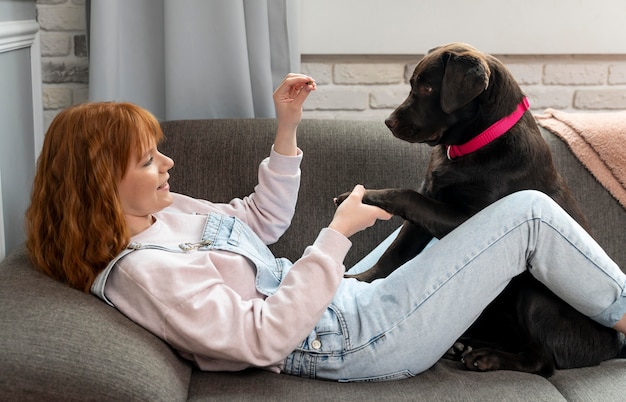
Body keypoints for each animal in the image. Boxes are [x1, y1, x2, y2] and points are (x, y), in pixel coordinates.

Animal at [338, 42, 620, 376]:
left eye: (428, 87)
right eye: (413, 84)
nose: (389, 123)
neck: (474, 145)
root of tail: (613, 347)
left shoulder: (471, 216)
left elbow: (406, 196)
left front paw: (365, 197)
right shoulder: (427, 199)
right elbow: (394, 253)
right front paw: (360, 280)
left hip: (534, 298)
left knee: (541, 361)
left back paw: (485, 358)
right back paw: (463, 346)